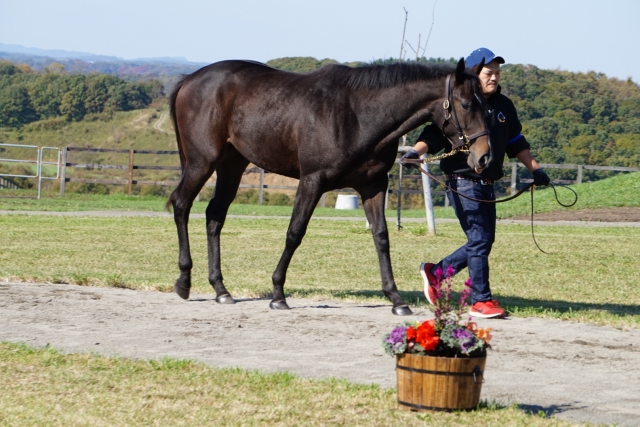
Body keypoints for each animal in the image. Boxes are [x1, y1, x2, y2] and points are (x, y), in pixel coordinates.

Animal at [166, 57, 491, 315]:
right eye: (466, 104)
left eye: (484, 104)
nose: (484, 156)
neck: (358, 115)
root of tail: (189, 80)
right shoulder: (312, 181)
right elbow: (294, 233)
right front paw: (278, 294)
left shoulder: (373, 185)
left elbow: (381, 237)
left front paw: (396, 299)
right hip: (202, 161)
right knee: (181, 204)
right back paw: (183, 281)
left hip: (231, 164)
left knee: (214, 215)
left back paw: (221, 289)